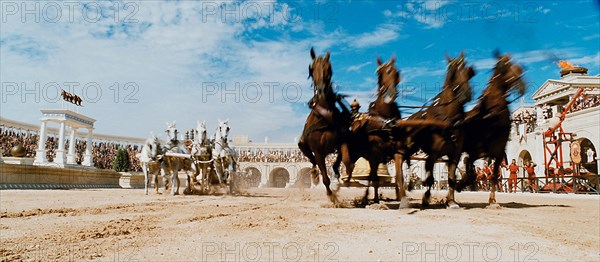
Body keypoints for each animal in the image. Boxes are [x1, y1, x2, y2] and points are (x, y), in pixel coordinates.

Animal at [298, 47, 350, 203]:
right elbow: (324, 176)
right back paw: (315, 175)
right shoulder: (319, 152)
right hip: (304, 146)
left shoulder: (341, 142)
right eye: (312, 69)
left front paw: (338, 178)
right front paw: (332, 196)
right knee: (313, 161)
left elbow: (341, 159)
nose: (321, 89)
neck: (324, 114)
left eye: (329, 68)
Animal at [408, 52, 474, 208]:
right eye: (453, 73)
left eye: (468, 70)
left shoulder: (455, 155)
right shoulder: (433, 153)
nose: (466, 93)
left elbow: (451, 178)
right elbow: (430, 176)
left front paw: (451, 201)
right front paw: (426, 197)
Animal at [460, 51, 524, 206]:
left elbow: (494, 175)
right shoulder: (478, 150)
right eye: (504, 66)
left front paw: (493, 200)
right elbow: (471, 169)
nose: (521, 86)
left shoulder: (498, 151)